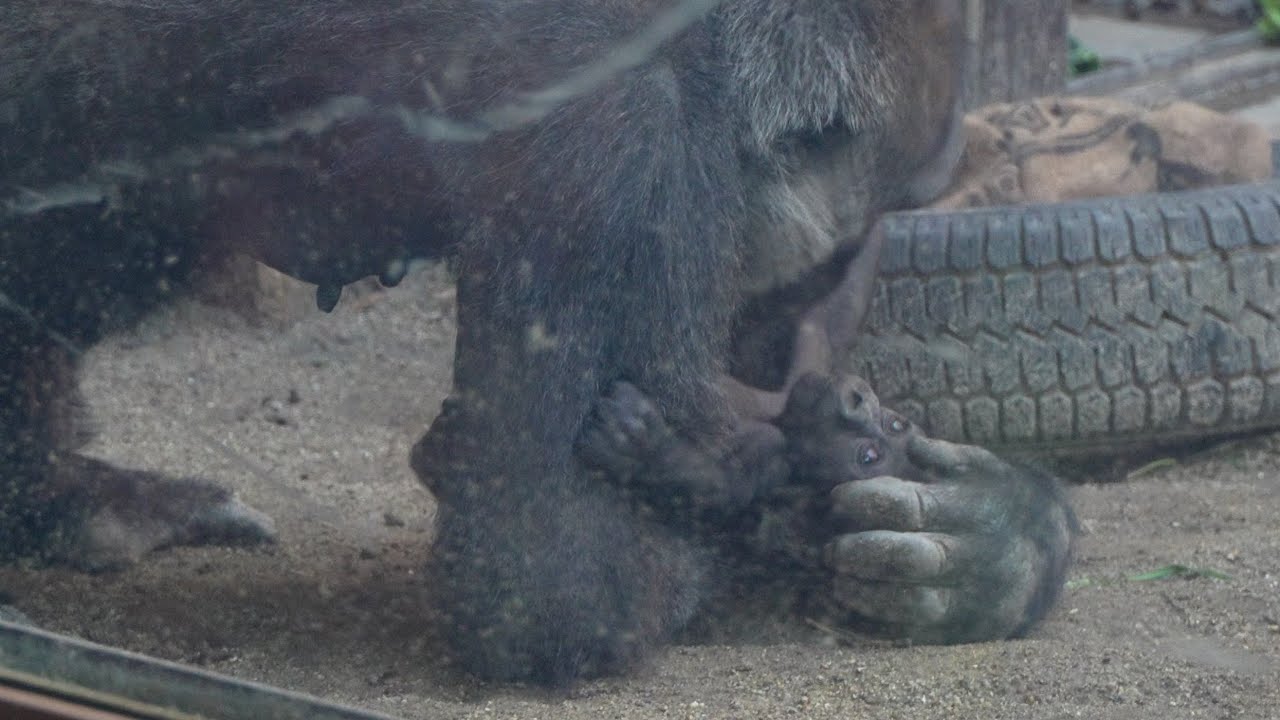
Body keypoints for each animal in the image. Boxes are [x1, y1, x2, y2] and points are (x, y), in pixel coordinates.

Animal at [1, 0, 1075, 685]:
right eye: (860, 224)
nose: (833, 293)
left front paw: (999, 540)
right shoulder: (620, 125)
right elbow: (553, 588)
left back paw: (49, 499)